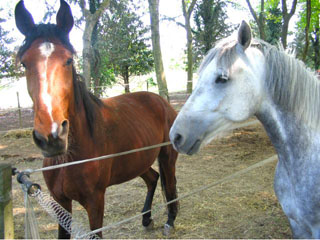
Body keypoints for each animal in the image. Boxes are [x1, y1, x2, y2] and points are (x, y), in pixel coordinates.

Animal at [15, 0, 179, 238]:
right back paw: (146, 218)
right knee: (153, 178)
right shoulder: (60, 201)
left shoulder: (95, 202)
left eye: (69, 60)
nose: (51, 137)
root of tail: (162, 102)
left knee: (170, 184)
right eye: (24, 63)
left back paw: (170, 220)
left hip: (167, 157)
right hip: (138, 162)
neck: (70, 157)